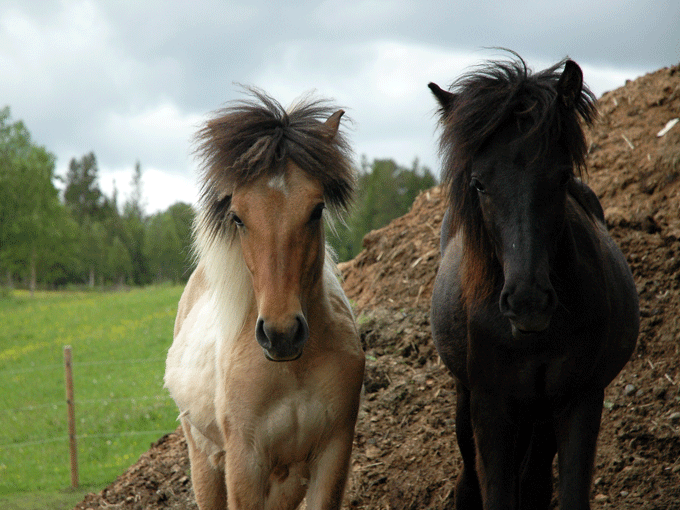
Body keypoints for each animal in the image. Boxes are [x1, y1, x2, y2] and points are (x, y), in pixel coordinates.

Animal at [163, 89, 366, 508]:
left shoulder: (333, 455)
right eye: (238, 217)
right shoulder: (245, 462)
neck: (293, 371)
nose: (281, 335)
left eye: (316, 209)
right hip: (204, 460)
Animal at [428, 56, 640, 510]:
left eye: (561, 177)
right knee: (471, 476)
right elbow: (495, 492)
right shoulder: (490, 406)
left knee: (535, 480)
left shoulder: (579, 400)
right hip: (468, 398)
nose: (528, 302)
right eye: (479, 183)